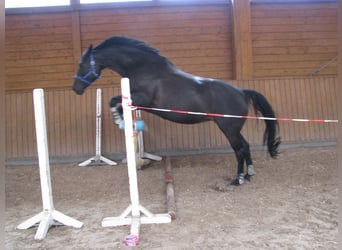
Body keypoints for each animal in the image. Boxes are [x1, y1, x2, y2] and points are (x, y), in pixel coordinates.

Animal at [73, 36, 280, 187]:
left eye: (81, 64)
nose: (76, 89)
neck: (146, 70)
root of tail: (242, 92)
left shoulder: (142, 100)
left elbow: (115, 101)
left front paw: (119, 119)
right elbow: (116, 101)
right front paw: (123, 119)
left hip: (229, 129)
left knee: (239, 149)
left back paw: (238, 179)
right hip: (233, 129)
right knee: (245, 146)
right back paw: (249, 174)